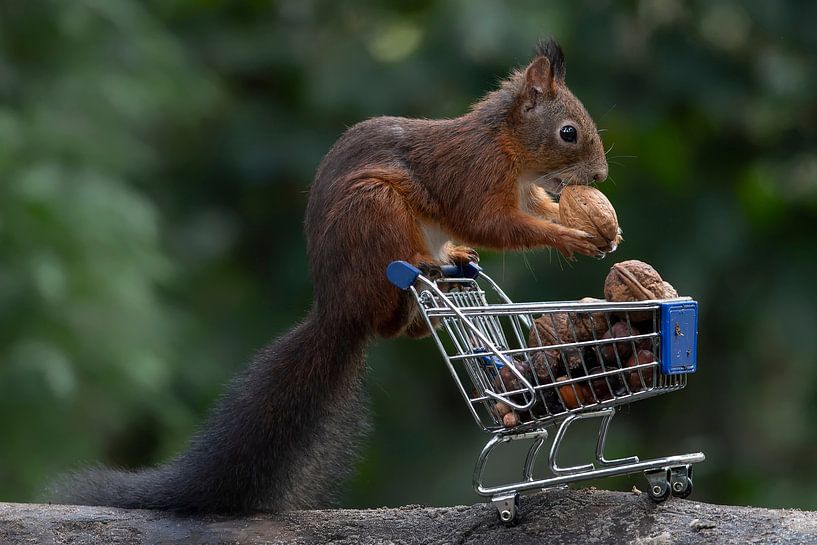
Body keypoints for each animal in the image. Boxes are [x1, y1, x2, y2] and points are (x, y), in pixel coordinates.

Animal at [53, 39, 608, 513]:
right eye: (569, 132)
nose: (601, 176)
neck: (507, 146)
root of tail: (339, 308)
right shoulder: (473, 174)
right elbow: (490, 223)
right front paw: (570, 237)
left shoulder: (525, 192)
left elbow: (534, 211)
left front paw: (593, 225)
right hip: (374, 211)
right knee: (389, 318)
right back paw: (425, 270)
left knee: (406, 325)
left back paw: (450, 269)